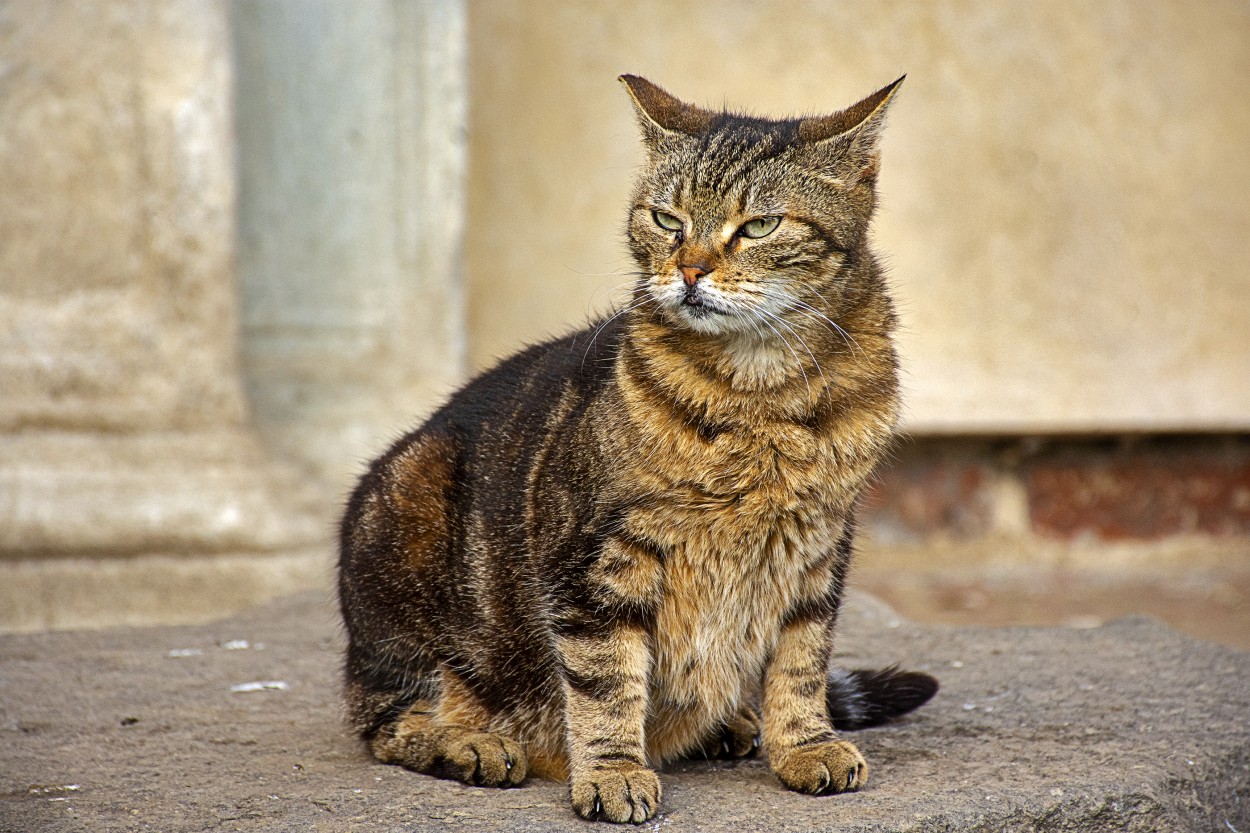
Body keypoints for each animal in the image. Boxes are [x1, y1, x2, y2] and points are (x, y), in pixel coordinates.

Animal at [337, 74, 935, 820]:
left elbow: (801, 661)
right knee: (386, 715)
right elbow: (605, 682)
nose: (691, 270)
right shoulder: (596, 560)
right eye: (667, 219)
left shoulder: (819, 548)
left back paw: (729, 722)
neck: (760, 397)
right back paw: (469, 740)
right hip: (407, 516)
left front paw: (803, 744)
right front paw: (613, 771)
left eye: (760, 225)